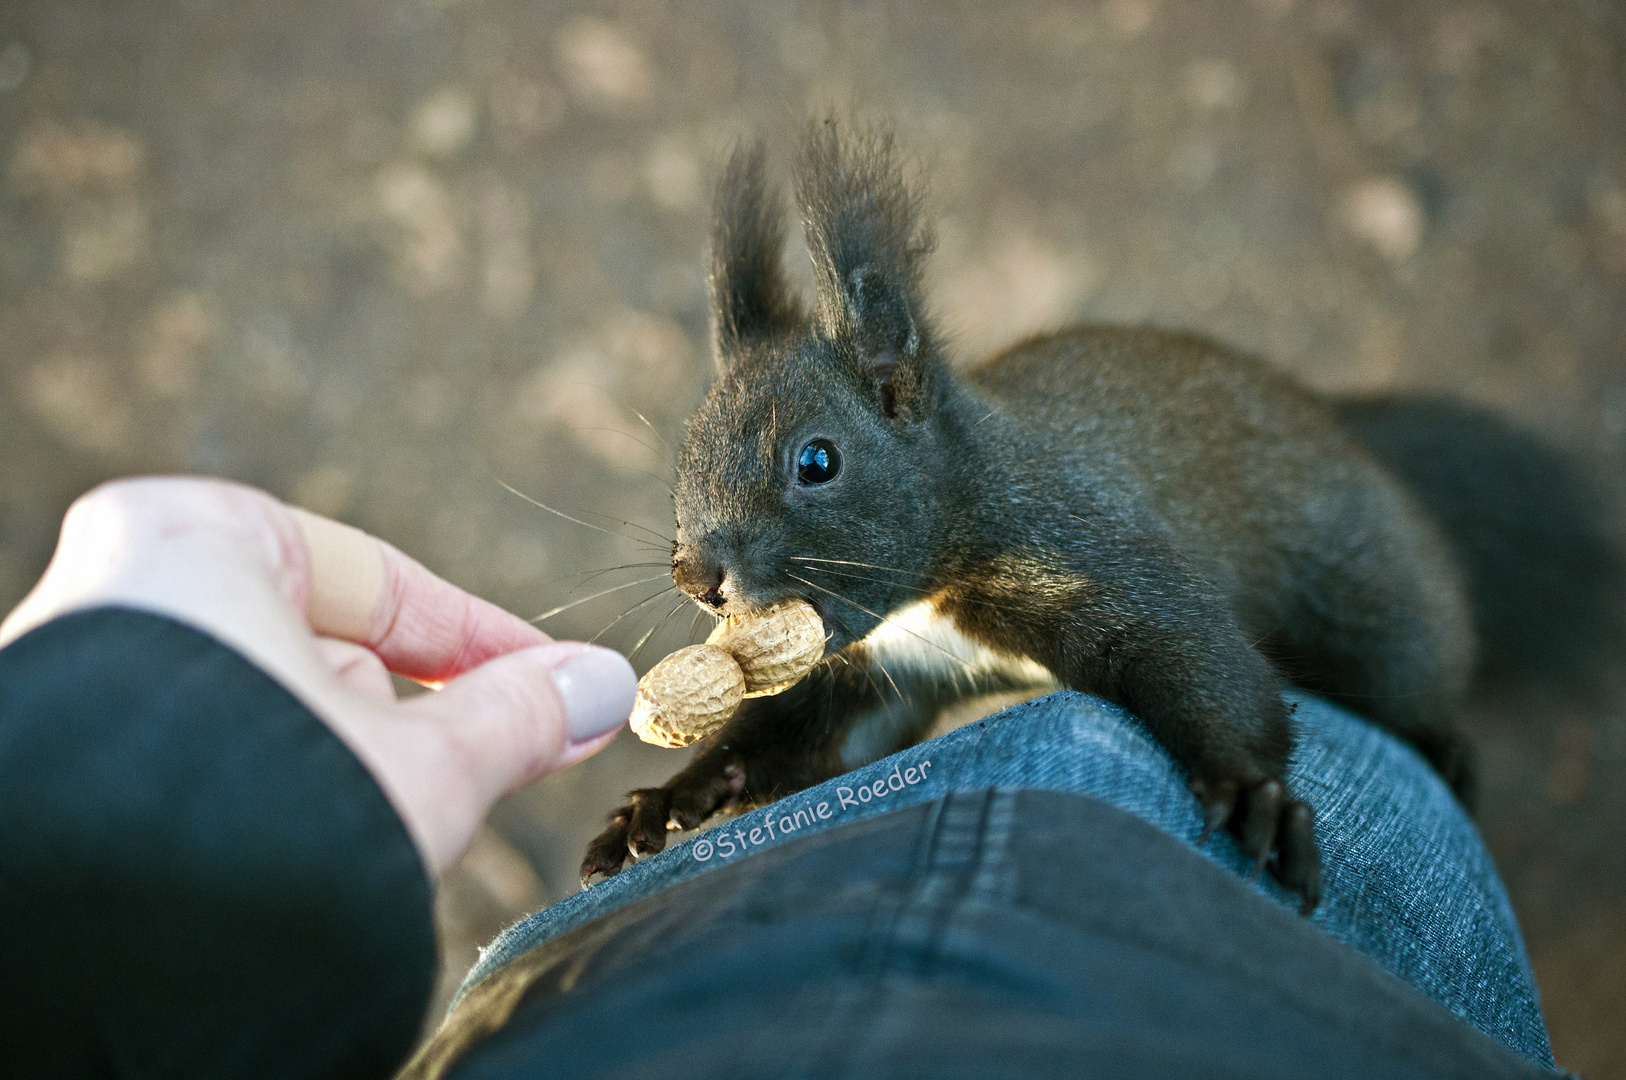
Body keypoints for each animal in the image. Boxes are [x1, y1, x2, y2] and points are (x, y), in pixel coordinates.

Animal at [578, 120, 1619, 910]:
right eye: (685, 452)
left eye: (817, 462)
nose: (695, 576)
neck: (935, 588)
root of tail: (1344, 429)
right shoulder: (886, 677)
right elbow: (802, 747)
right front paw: (662, 805)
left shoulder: (1090, 549)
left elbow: (1202, 657)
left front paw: (1256, 796)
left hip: (1380, 615)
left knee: (1421, 687)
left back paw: (1448, 749)